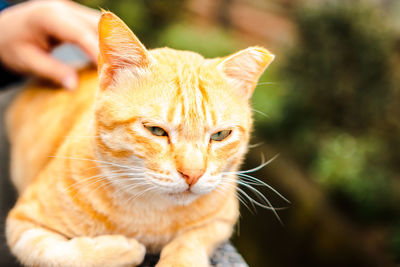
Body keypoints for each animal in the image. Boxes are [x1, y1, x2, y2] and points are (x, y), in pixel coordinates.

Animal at [4, 11, 276, 267]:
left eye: (220, 135)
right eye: (156, 130)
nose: (193, 174)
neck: (150, 215)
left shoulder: (222, 219)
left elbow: (191, 241)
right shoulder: (23, 225)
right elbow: (60, 254)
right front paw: (125, 249)